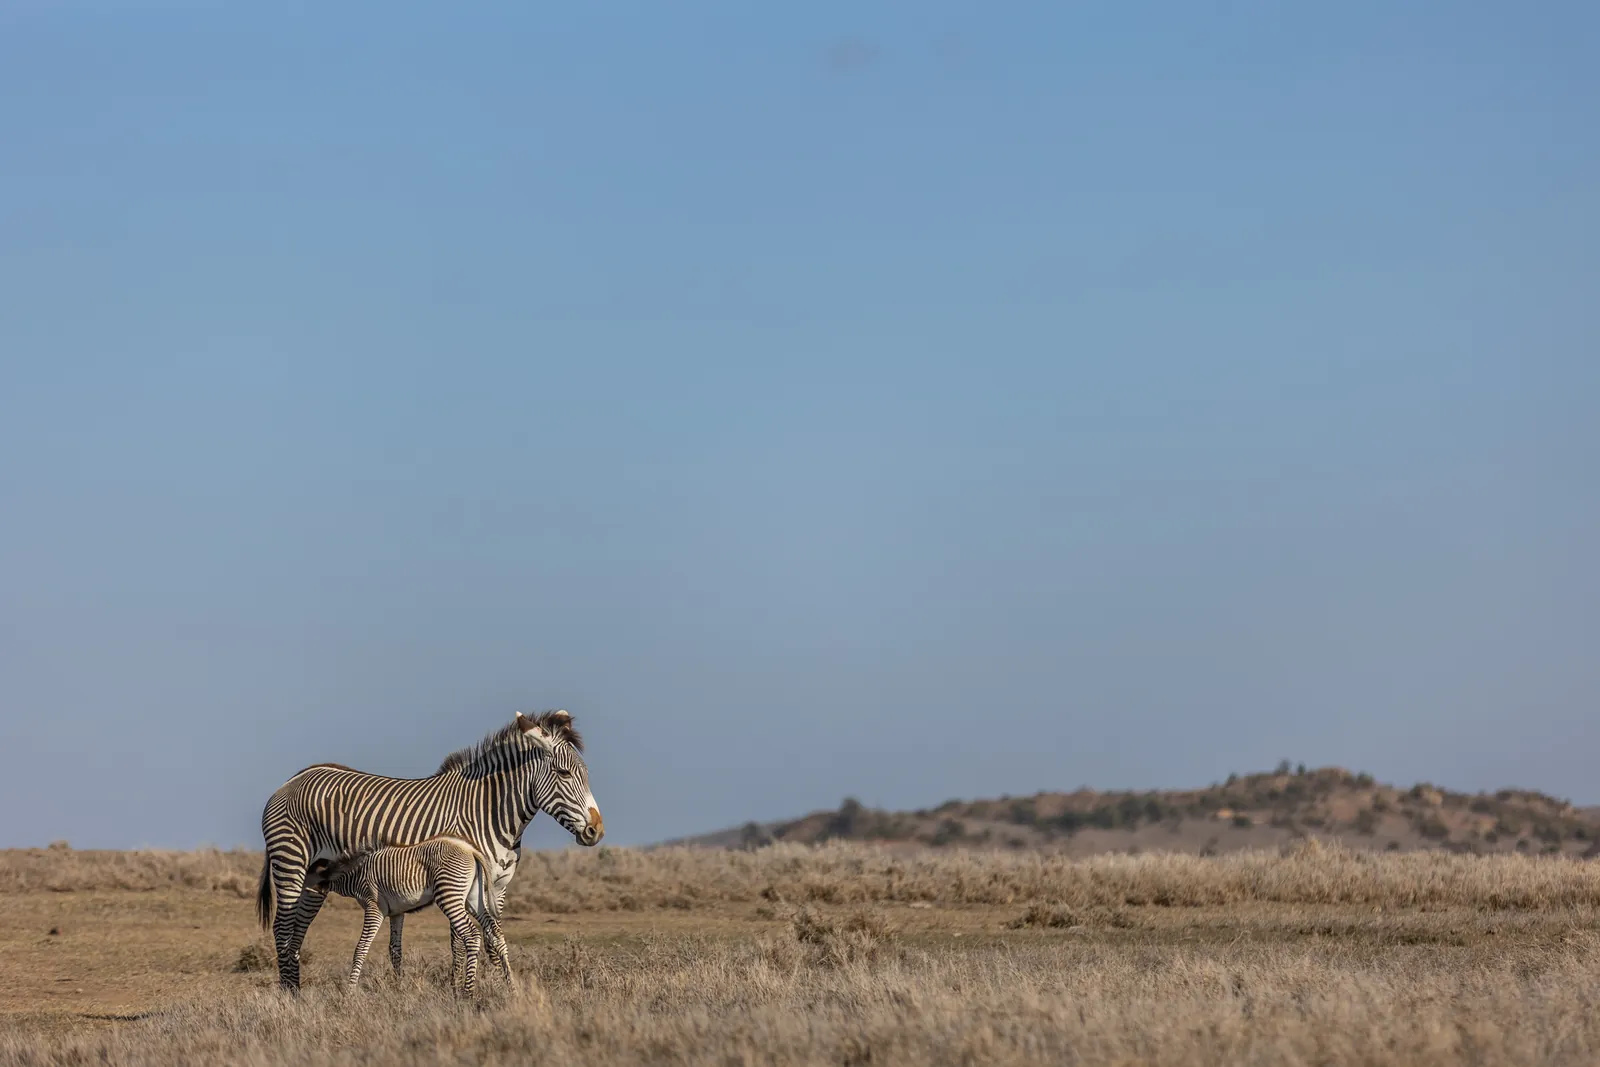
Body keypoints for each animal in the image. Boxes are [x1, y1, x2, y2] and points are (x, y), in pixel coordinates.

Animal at [307, 835, 514, 996]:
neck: (355, 874)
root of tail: (470, 850)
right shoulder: (397, 912)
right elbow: (395, 950)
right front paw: (399, 987)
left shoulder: (374, 907)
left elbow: (361, 947)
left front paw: (349, 992)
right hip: (474, 898)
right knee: (495, 933)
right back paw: (511, 987)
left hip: (449, 895)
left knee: (472, 935)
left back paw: (467, 992)